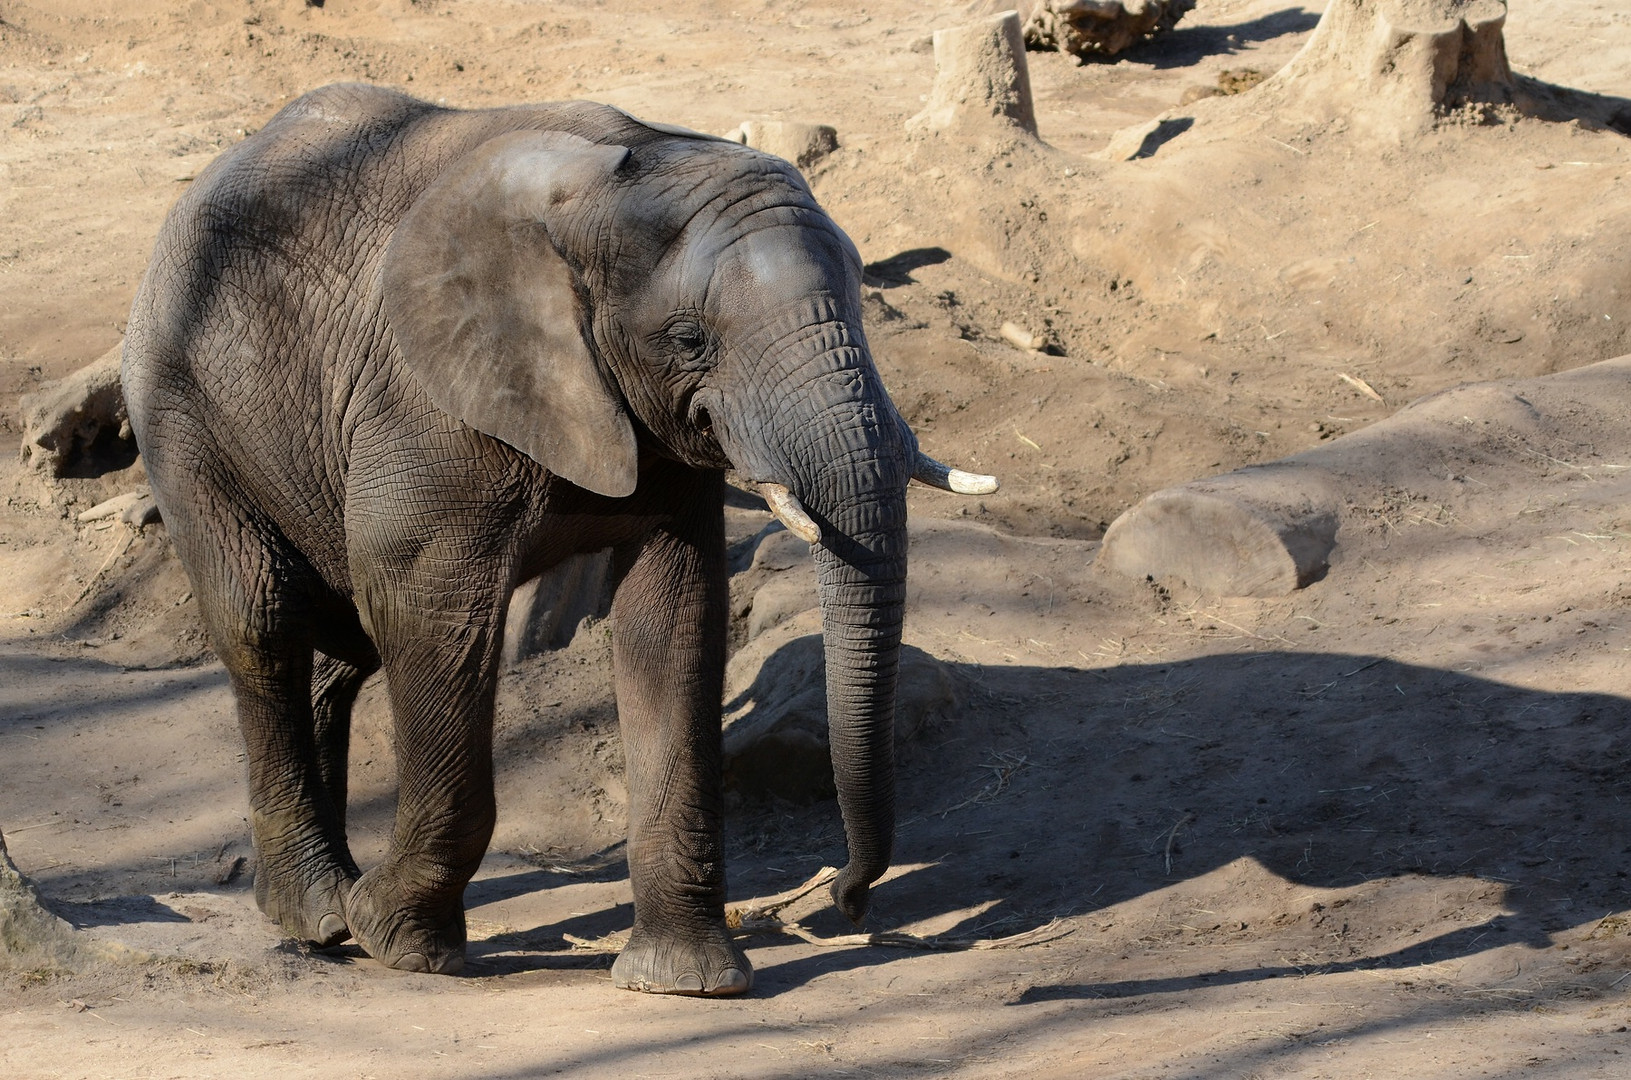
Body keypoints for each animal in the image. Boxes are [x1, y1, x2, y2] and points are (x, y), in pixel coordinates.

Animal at [121, 83, 996, 994]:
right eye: (690, 338)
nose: (849, 902)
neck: (611, 189)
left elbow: (675, 614)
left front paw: (684, 981)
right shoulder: (428, 398)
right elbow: (425, 605)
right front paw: (400, 941)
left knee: (340, 652)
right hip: (182, 406)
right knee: (264, 625)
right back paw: (323, 914)